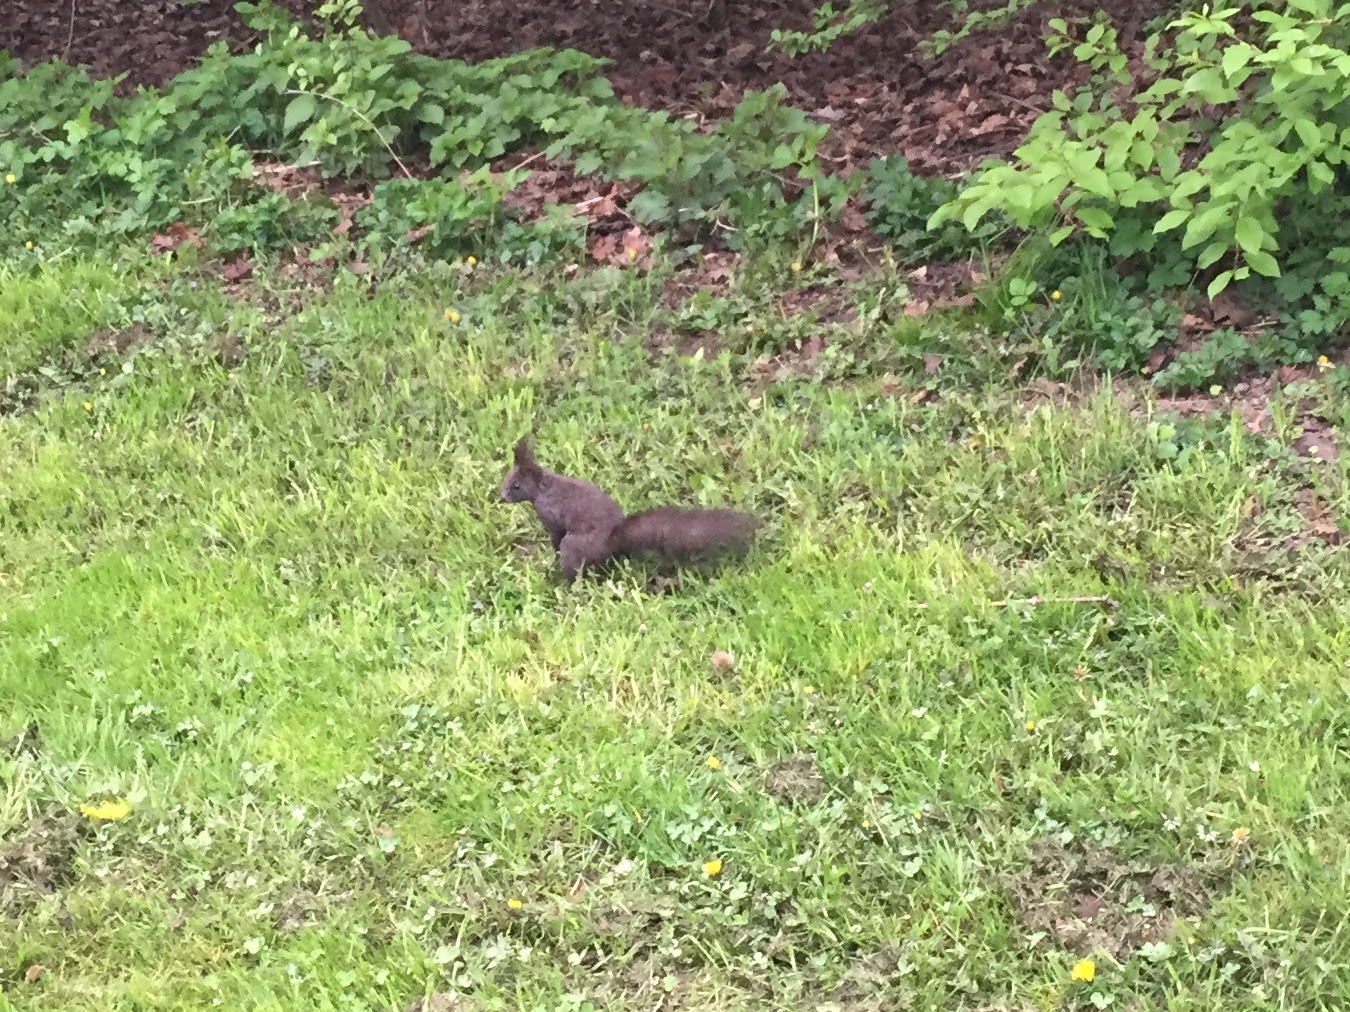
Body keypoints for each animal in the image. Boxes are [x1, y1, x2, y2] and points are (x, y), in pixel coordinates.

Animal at [500, 435, 760, 582]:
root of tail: (614, 541)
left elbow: (555, 536)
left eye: (516, 486)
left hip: (574, 547)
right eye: (506, 479)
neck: (544, 488)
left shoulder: (551, 516)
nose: (501, 497)